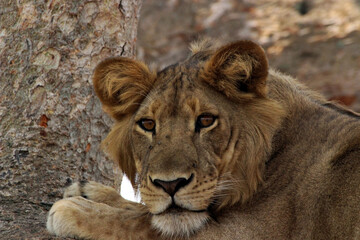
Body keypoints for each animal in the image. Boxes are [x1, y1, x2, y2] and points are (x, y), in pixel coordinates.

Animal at [47, 39, 360, 240]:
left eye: (206, 121)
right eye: (148, 124)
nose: (169, 184)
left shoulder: (249, 233)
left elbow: (145, 226)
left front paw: (77, 210)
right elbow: (149, 212)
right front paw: (89, 193)